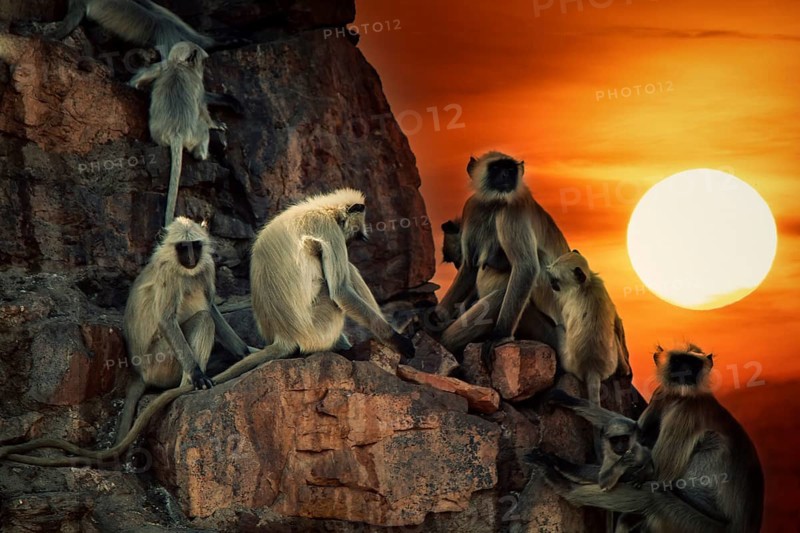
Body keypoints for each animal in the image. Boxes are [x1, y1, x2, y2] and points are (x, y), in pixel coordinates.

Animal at [130, 41, 225, 226]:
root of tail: (176, 133)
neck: (178, 65)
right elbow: (204, 111)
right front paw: (216, 124)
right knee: (203, 128)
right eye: (203, 62)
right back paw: (202, 155)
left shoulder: (161, 65)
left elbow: (136, 81)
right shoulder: (199, 84)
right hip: (195, 134)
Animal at [432, 152, 569, 362]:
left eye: (510, 169)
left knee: (502, 294)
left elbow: (526, 267)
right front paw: (438, 315)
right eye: (496, 168)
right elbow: (470, 267)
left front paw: (499, 336)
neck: (494, 204)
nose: (506, 175)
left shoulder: (512, 210)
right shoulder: (472, 207)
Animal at [530, 345, 764, 532]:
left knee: (653, 498)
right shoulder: (662, 394)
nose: (686, 372)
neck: (678, 397)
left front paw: (562, 466)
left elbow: (656, 476)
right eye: (678, 362)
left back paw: (564, 487)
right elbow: (636, 433)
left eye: (692, 364)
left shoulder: (686, 411)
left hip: (698, 526)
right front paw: (570, 401)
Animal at [546, 250, 630, 405]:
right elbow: (615, 321)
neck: (586, 286)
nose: (551, 284)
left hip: (569, 361)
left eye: (556, 280)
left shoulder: (568, 303)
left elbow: (563, 323)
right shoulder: (602, 289)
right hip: (611, 361)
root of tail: (592, 368)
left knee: (558, 329)